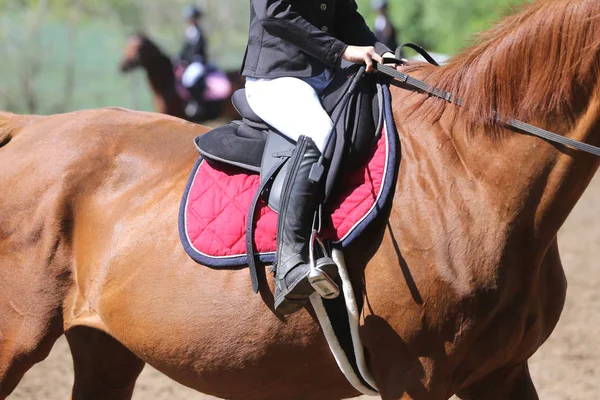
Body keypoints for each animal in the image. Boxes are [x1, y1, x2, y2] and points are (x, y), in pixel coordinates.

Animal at [1, 0, 600, 398]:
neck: (470, 169)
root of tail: (29, 127)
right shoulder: (416, 379)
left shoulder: (503, 372)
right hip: (17, 339)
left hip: (107, 350)